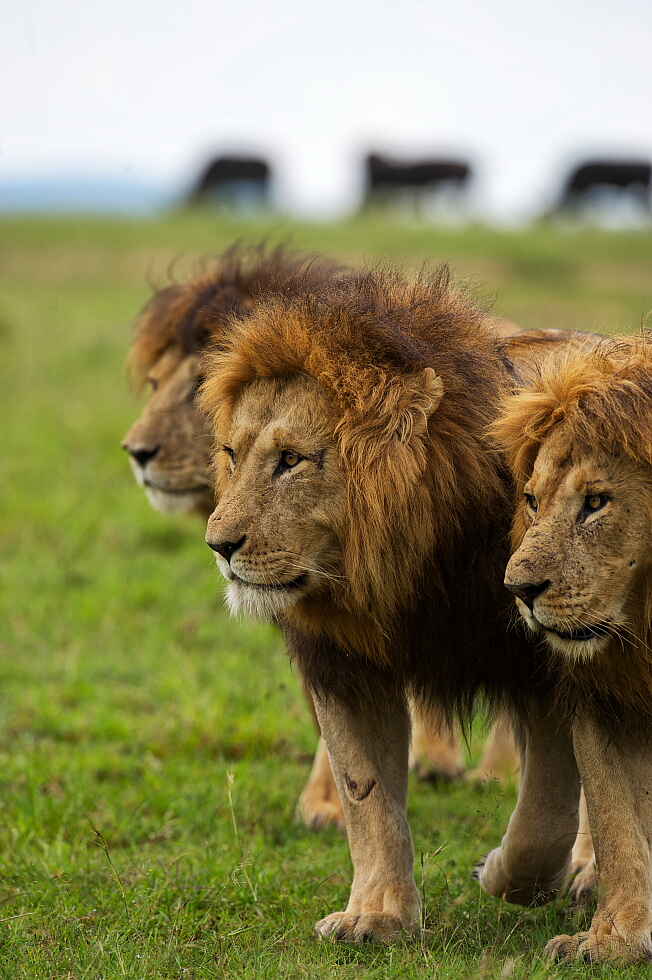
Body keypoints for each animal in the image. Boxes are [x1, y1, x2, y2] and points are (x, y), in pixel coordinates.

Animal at [200, 264, 597, 944]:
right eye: (232, 454)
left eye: (290, 460)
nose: (219, 545)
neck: (403, 568)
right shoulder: (345, 666)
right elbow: (368, 798)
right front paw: (378, 916)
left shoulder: (546, 668)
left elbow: (545, 813)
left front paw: (509, 876)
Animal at [479, 334, 652, 963]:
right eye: (532, 500)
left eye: (597, 502)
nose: (519, 590)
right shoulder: (603, 699)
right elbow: (616, 821)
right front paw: (615, 939)